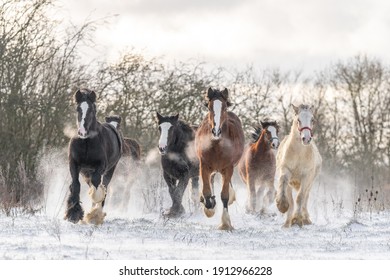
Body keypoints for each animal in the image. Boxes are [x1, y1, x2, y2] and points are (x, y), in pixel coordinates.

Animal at [66, 89, 122, 225]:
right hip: (86, 172)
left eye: (91, 109)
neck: (87, 141)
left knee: (103, 186)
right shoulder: (74, 164)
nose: (82, 132)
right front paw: (73, 214)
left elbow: (97, 184)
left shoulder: (101, 166)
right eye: (78, 109)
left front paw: (94, 214)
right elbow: (75, 185)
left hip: (109, 170)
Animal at [195, 87, 244, 230]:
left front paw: (225, 223)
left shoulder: (228, 168)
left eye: (224, 108)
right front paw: (209, 207)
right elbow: (206, 191)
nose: (216, 131)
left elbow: (225, 195)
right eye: (209, 107)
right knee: (210, 181)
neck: (217, 145)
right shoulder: (204, 165)